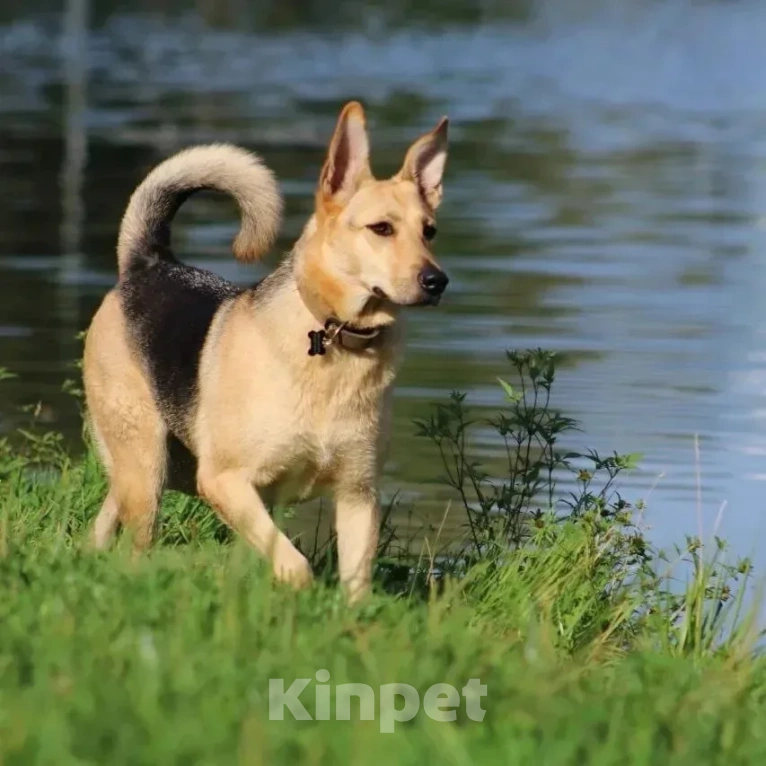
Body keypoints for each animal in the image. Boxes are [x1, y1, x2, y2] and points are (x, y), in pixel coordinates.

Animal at [85, 102, 450, 604]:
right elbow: (294, 564)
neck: (335, 339)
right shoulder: (225, 481)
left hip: (150, 471)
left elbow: (356, 584)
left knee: (105, 520)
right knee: (136, 542)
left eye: (429, 232)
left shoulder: (359, 496)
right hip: (148, 468)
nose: (438, 281)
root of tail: (149, 263)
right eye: (381, 229)